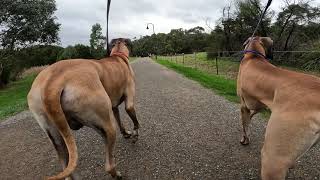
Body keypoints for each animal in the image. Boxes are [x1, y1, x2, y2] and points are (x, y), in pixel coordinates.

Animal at [26, 37, 138, 179]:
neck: (118, 55)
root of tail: (52, 83)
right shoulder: (129, 102)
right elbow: (135, 121)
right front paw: (135, 135)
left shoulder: (114, 107)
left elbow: (120, 120)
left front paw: (126, 133)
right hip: (106, 125)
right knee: (108, 164)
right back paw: (116, 174)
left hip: (55, 134)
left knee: (66, 165)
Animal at [236, 35, 320, 179]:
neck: (253, 56)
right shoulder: (260, 105)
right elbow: (250, 118)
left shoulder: (244, 106)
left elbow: (245, 125)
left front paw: (244, 139)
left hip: (274, 159)